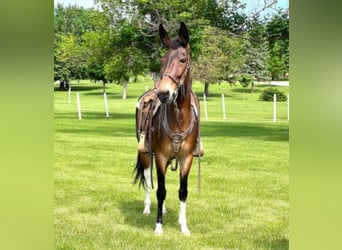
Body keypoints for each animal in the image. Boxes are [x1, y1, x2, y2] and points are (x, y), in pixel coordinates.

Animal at [133, 21, 200, 234]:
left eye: (183, 59)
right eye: (163, 59)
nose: (164, 93)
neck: (180, 119)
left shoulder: (187, 158)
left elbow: (183, 191)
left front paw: (184, 226)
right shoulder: (160, 156)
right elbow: (160, 190)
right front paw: (158, 227)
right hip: (146, 153)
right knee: (148, 177)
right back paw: (148, 208)